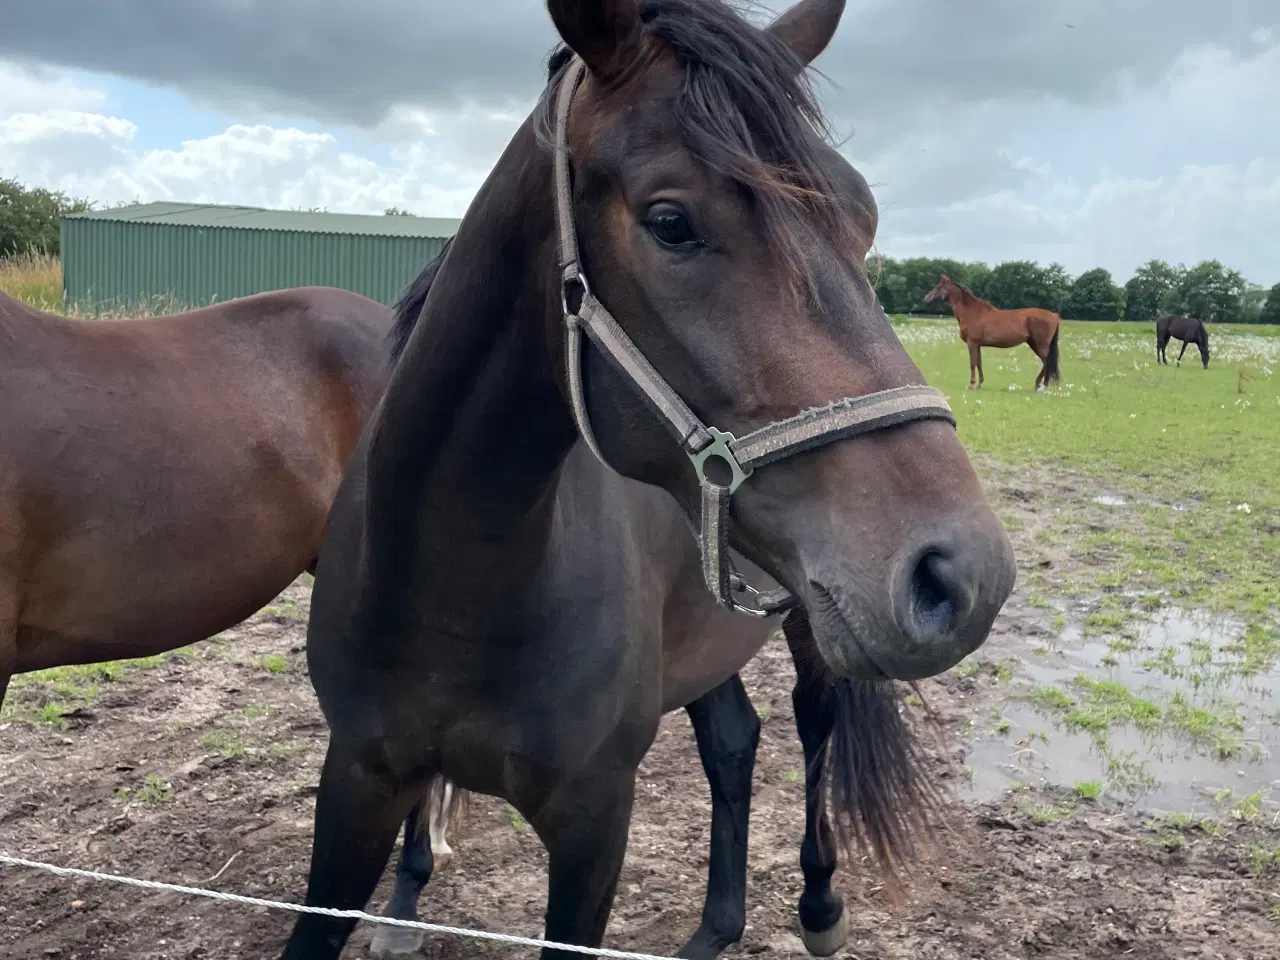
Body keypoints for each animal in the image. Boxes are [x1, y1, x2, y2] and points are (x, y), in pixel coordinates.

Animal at [285, 1, 1013, 960]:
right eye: (671, 222)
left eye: (864, 218)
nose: (964, 573)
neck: (456, 588)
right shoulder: (358, 782)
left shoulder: (594, 820)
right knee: (735, 741)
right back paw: (715, 928)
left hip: (809, 630)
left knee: (811, 724)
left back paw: (819, 906)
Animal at [926, 272, 1064, 391]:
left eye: (938, 287)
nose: (926, 298)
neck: (972, 312)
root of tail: (1053, 315)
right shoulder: (977, 344)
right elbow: (979, 363)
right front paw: (979, 384)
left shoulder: (972, 343)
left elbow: (972, 363)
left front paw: (971, 384)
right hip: (1033, 343)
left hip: (1040, 345)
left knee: (1046, 362)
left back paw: (1042, 386)